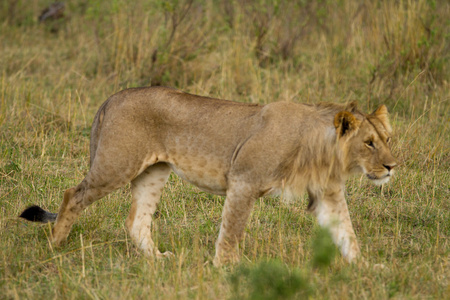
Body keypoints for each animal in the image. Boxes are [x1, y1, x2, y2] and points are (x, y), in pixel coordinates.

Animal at [20, 86, 398, 264]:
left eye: (387, 139)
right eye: (368, 143)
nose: (392, 167)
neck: (321, 150)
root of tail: (113, 97)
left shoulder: (328, 195)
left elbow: (347, 233)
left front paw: (366, 269)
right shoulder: (244, 181)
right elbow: (231, 232)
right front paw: (227, 269)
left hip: (153, 172)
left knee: (137, 220)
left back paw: (158, 260)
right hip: (116, 164)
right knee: (73, 195)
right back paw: (55, 245)